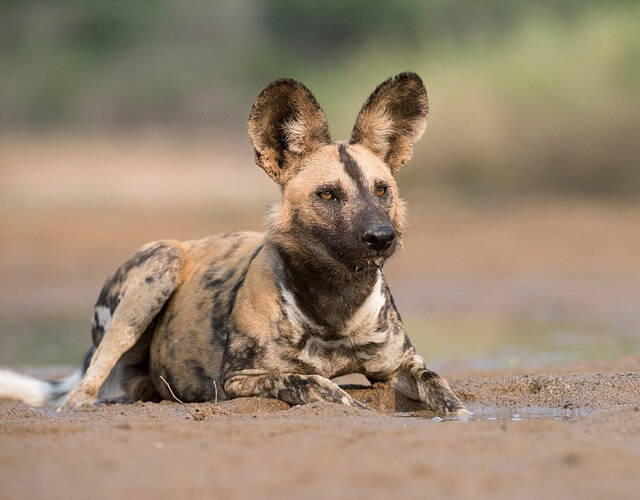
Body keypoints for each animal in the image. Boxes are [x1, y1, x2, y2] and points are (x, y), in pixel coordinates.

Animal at [0, 73, 470, 414]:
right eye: (328, 195)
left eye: (381, 190)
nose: (381, 237)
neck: (334, 303)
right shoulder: (237, 379)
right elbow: (313, 383)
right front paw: (351, 404)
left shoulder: (401, 366)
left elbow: (440, 385)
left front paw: (459, 413)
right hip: (158, 267)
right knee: (80, 392)